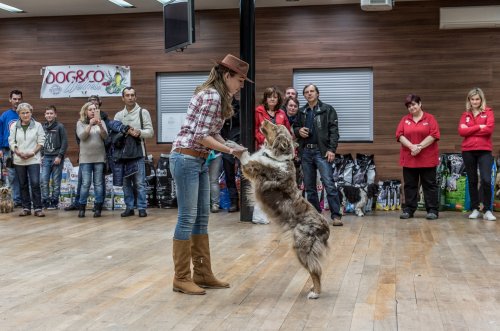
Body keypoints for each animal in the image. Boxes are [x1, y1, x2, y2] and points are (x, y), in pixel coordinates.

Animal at [231, 120, 332, 300]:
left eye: (275, 127)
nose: (264, 120)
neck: (275, 155)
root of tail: (326, 227)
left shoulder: (253, 169)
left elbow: (245, 158)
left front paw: (235, 148)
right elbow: (247, 152)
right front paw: (233, 143)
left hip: (301, 247)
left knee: (315, 269)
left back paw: (315, 293)